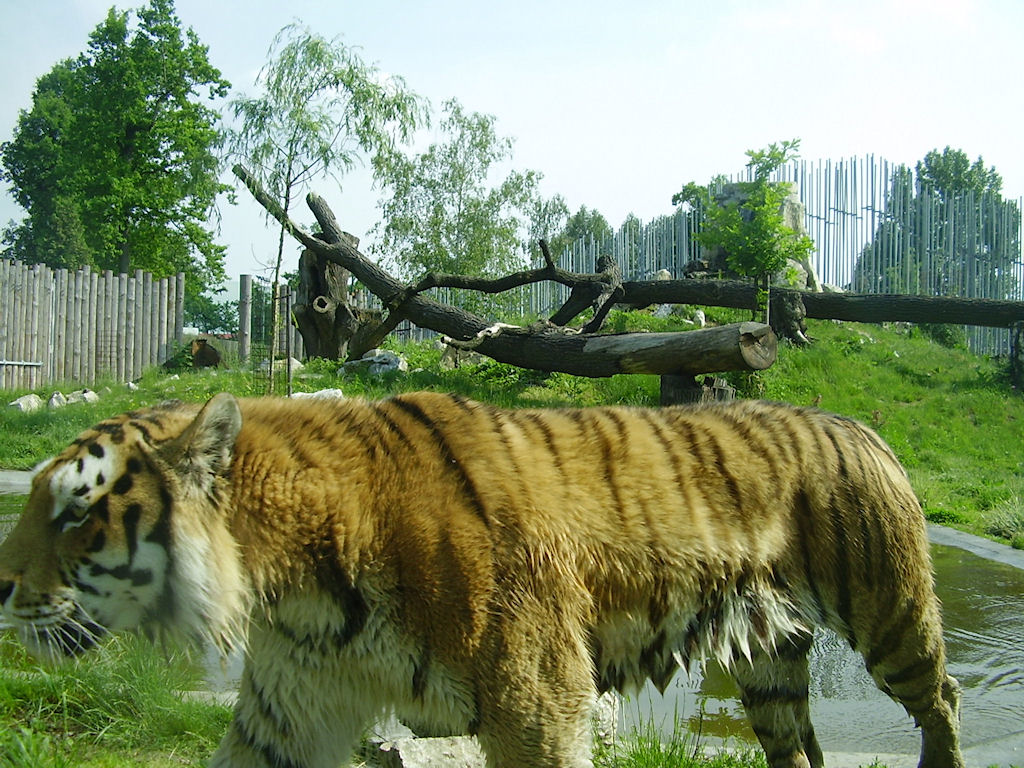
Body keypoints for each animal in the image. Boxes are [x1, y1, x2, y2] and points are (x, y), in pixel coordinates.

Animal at [0, 391, 964, 768]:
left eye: (76, 511)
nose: (2, 589)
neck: (297, 588)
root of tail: (864, 427)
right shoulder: (291, 707)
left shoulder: (538, 700)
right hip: (770, 666)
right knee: (800, 745)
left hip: (888, 617)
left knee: (943, 698)